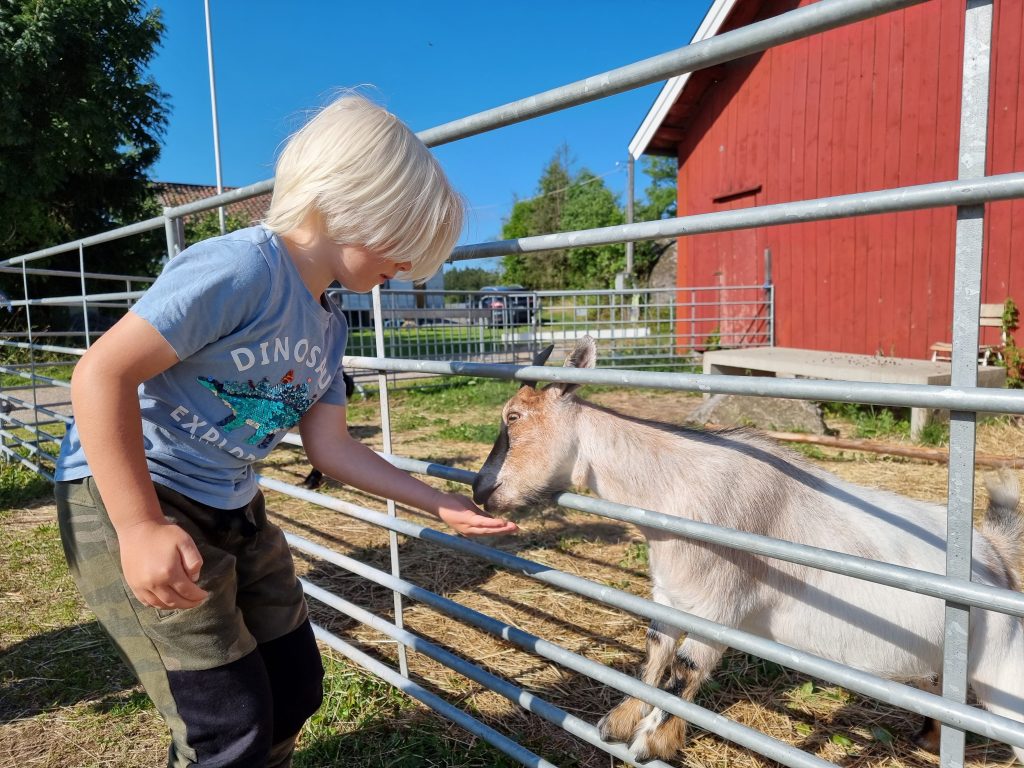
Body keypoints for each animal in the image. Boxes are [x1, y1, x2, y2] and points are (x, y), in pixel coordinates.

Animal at [471, 335, 1024, 765]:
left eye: (514, 416)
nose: (479, 491)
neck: (673, 486)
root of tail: (996, 554)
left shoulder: (720, 605)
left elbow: (683, 673)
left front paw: (651, 743)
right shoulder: (671, 594)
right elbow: (654, 653)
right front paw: (619, 721)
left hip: (1003, 675)